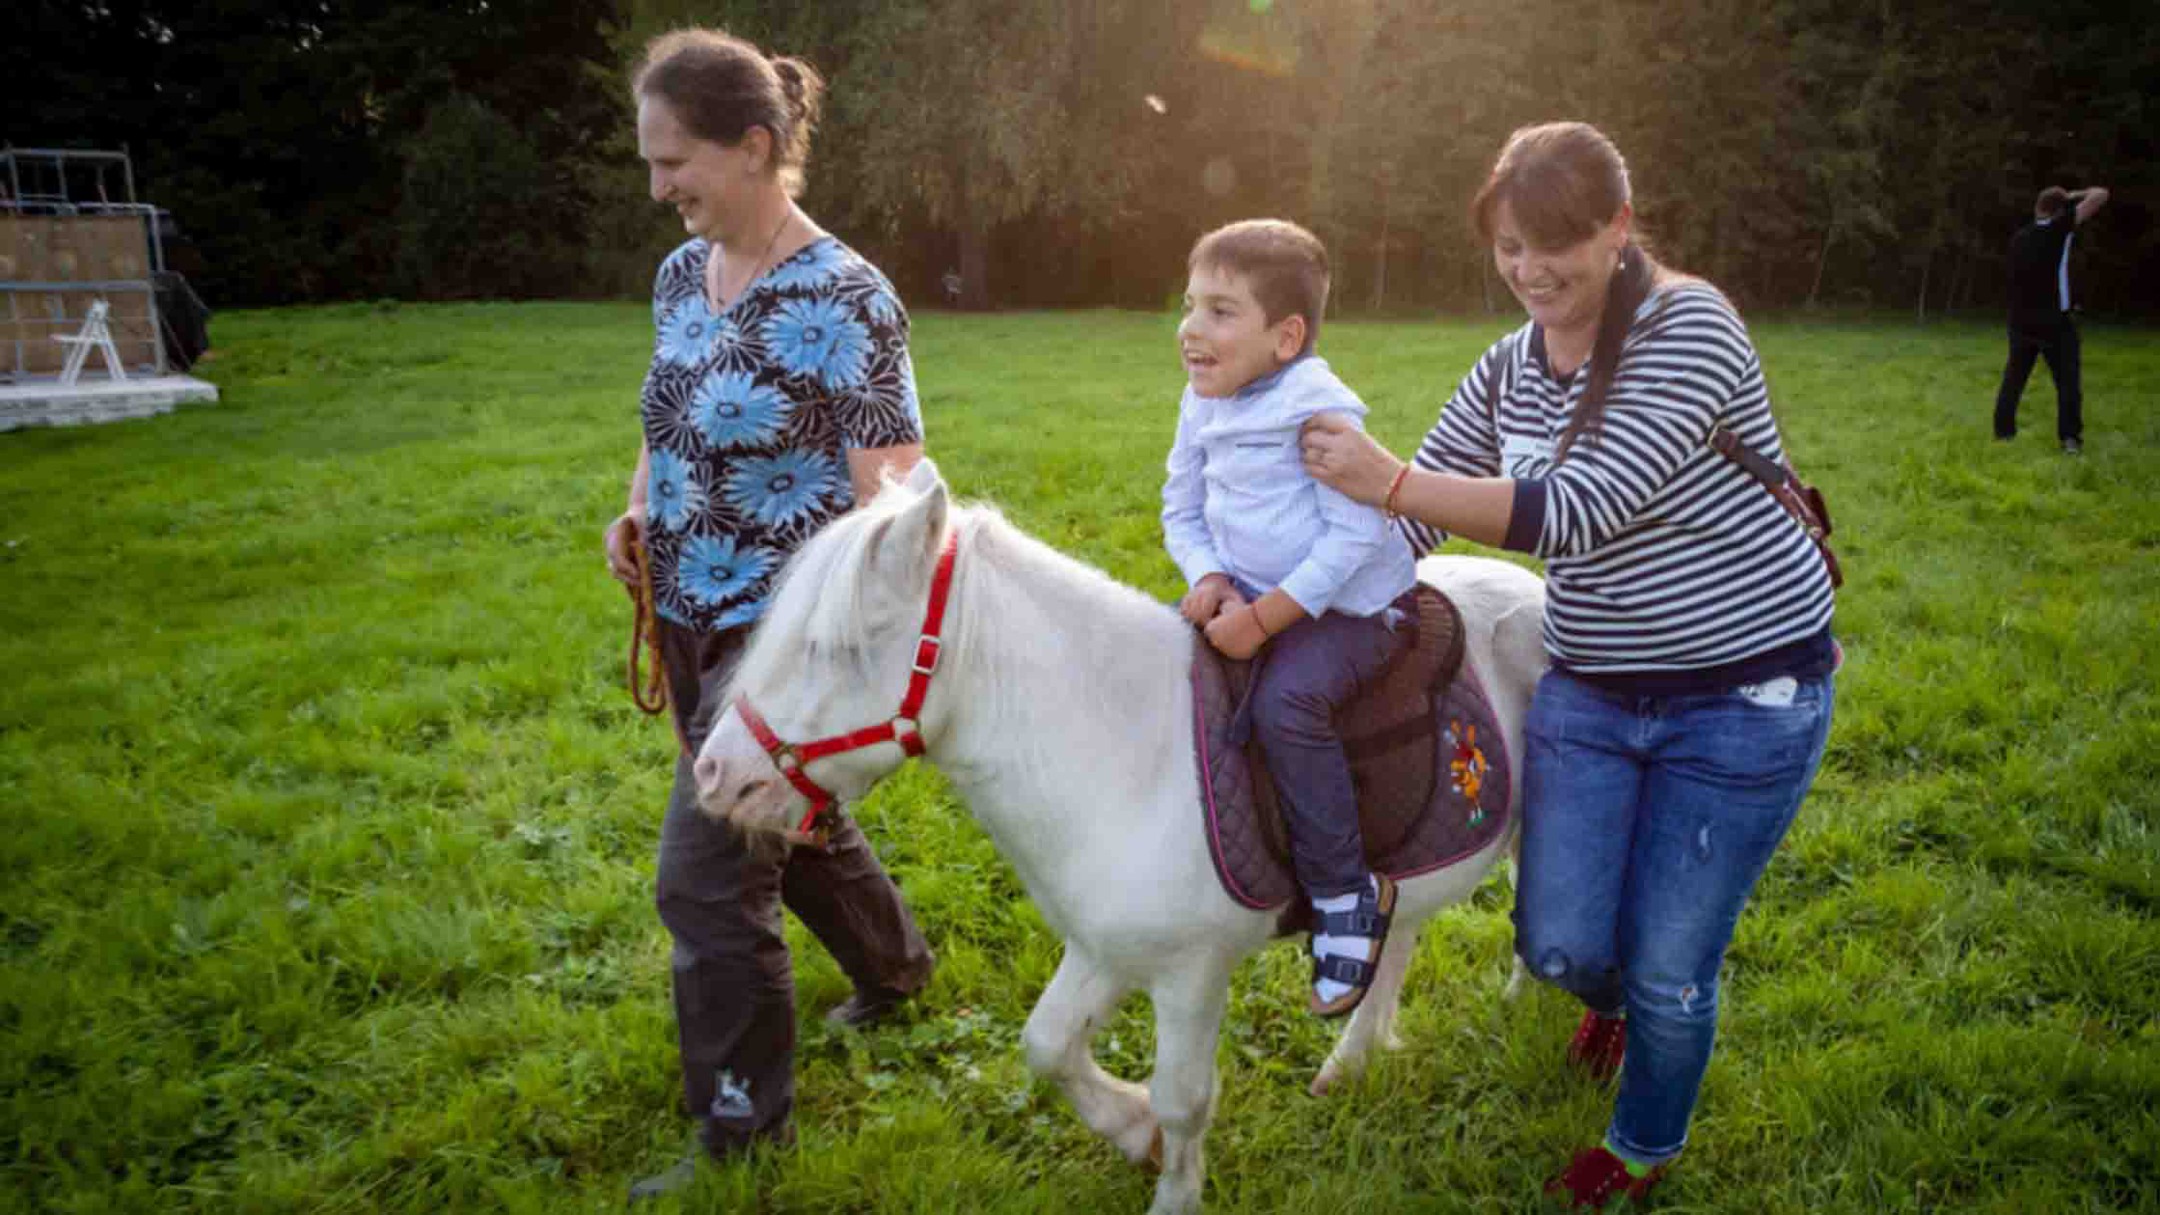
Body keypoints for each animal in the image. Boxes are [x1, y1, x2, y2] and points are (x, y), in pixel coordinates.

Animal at [699, 458, 1546, 1202]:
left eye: (835, 649)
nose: (716, 777)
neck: (1130, 753)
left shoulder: (1191, 972)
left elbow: (1184, 1098)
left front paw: (1172, 1181)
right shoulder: (1103, 946)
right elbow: (1047, 1044)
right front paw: (1137, 1134)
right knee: (1398, 931)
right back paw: (1356, 1056)